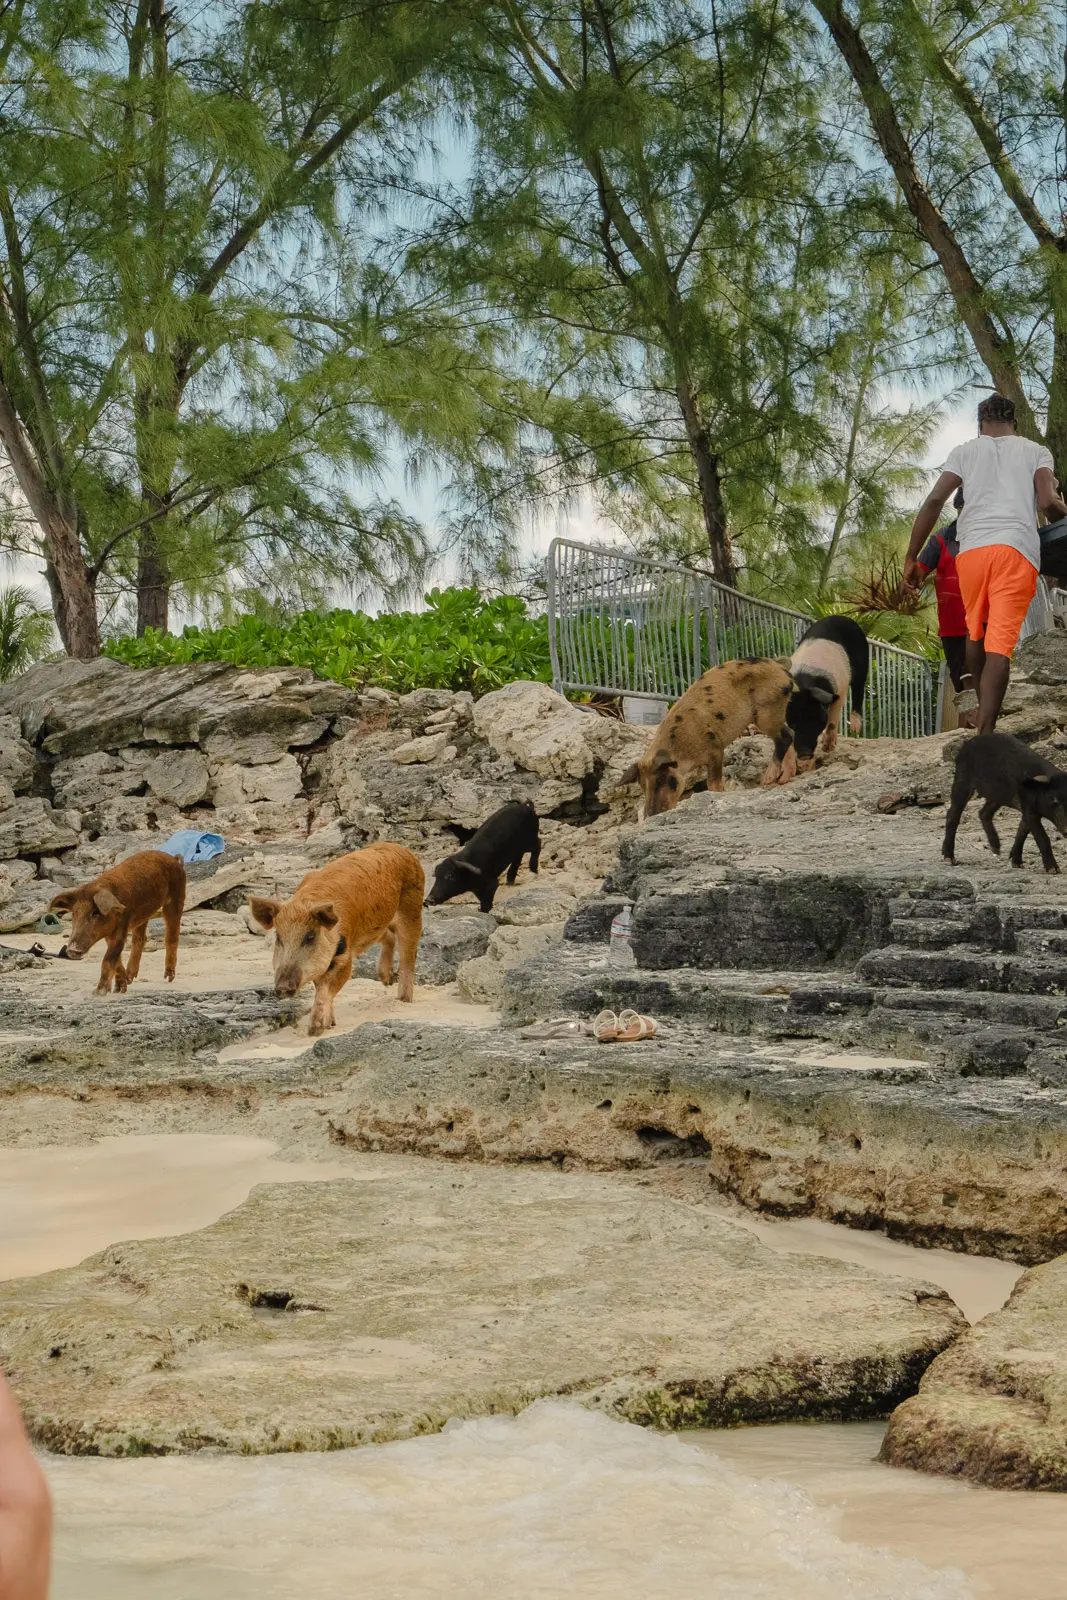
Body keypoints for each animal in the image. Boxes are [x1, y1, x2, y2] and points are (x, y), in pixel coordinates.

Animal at [48, 849, 186, 994]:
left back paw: (169, 977)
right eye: (74, 913)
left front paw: (98, 993)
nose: (72, 949)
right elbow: (116, 957)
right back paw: (130, 978)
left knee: (172, 935)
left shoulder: (123, 923)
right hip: (143, 914)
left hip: (177, 895)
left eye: (95, 912)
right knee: (140, 938)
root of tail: (174, 859)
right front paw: (119, 989)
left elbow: (109, 957)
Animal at [249, 842, 424, 1034]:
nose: (282, 988)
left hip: (413, 905)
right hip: (377, 926)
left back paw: (403, 999)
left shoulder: (345, 955)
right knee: (389, 937)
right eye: (278, 937)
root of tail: (401, 848)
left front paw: (315, 1030)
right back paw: (385, 980)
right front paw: (329, 1024)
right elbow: (320, 984)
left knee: (409, 953)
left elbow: (329, 984)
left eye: (310, 936)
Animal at [617, 657, 796, 817]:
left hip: (767, 709)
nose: (651, 815)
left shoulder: (715, 748)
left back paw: (767, 781)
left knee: (785, 736)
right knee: (790, 734)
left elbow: (713, 782)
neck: (682, 751)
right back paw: (784, 779)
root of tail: (781, 668)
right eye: (642, 785)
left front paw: (716, 795)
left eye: (662, 780)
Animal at [786, 615, 869, 774]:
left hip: (863, 660)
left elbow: (832, 720)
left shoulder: (840, 687)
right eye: (793, 722)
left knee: (859, 688)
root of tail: (840, 617)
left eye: (816, 720)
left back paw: (855, 728)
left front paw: (827, 748)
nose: (804, 754)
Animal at [942, 732, 1067, 874]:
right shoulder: (1029, 809)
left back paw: (996, 849)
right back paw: (949, 859)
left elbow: (1022, 831)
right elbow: (1042, 837)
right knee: (952, 814)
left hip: (997, 795)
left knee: (983, 813)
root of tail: (968, 742)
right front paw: (1054, 870)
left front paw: (1017, 864)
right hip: (962, 780)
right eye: (1053, 798)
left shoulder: (1026, 808)